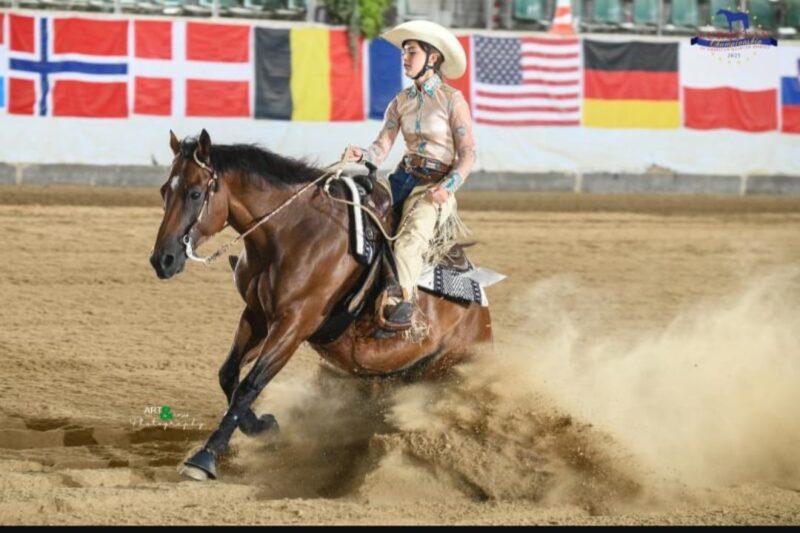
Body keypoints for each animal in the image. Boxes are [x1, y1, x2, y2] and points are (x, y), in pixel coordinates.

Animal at [149, 129, 494, 481]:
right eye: (165, 190)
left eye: (195, 193)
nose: (163, 259)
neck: (292, 232)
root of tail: (483, 316)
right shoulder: (257, 315)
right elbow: (229, 376)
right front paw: (263, 426)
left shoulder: (294, 324)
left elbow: (250, 385)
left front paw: (204, 457)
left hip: (447, 370)